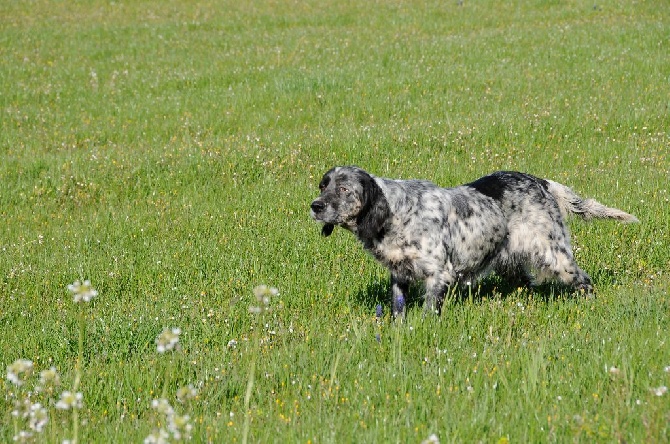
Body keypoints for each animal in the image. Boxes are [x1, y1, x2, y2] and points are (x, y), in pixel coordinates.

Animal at [310, 166, 640, 316]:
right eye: (324, 185)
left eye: (344, 189)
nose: (315, 206)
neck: (396, 212)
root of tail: (540, 181)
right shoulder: (399, 274)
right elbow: (398, 309)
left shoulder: (439, 273)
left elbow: (428, 310)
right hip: (512, 263)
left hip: (556, 255)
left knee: (584, 280)